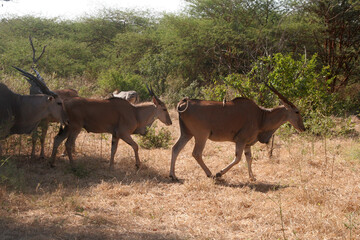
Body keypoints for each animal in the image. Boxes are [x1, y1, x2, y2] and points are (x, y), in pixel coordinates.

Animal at [170, 83, 306, 181]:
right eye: (297, 111)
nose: (303, 128)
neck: (261, 116)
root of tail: (184, 102)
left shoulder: (247, 143)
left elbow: (249, 158)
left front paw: (252, 178)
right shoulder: (241, 140)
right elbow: (238, 158)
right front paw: (219, 173)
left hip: (186, 134)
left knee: (175, 148)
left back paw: (173, 175)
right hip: (201, 135)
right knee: (196, 153)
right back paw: (210, 174)